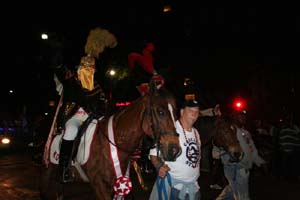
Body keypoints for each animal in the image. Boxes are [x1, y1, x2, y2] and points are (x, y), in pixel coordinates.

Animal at [39, 81, 180, 200]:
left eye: (176, 113)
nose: (175, 150)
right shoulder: (98, 183)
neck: (113, 143)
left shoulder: (116, 183)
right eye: (160, 112)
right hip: (49, 170)